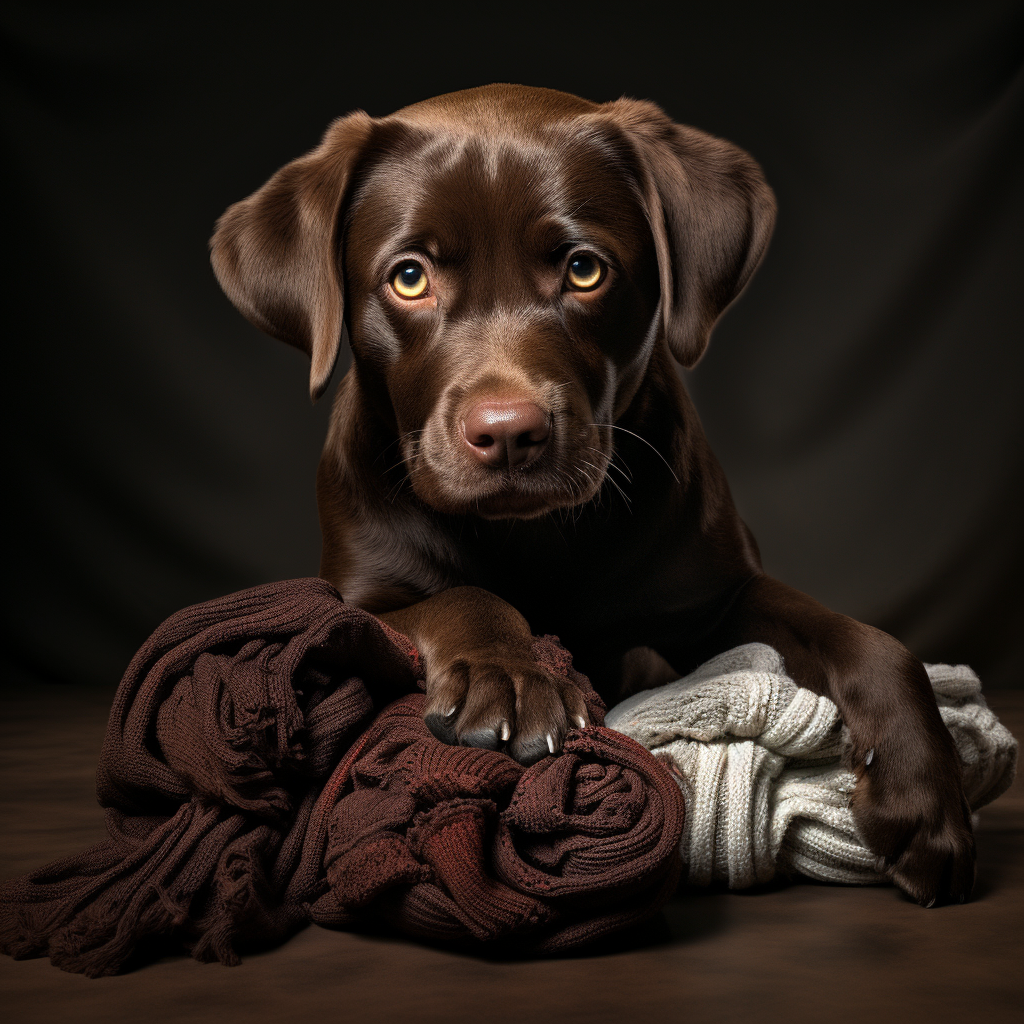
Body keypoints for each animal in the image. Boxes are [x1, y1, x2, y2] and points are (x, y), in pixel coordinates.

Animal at [209, 86, 974, 905]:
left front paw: (923, 798)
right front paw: (509, 676)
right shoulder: (359, 601)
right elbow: (463, 597)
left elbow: (873, 641)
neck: (535, 538)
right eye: (409, 278)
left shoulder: (715, 600)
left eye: (583, 269)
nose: (508, 433)